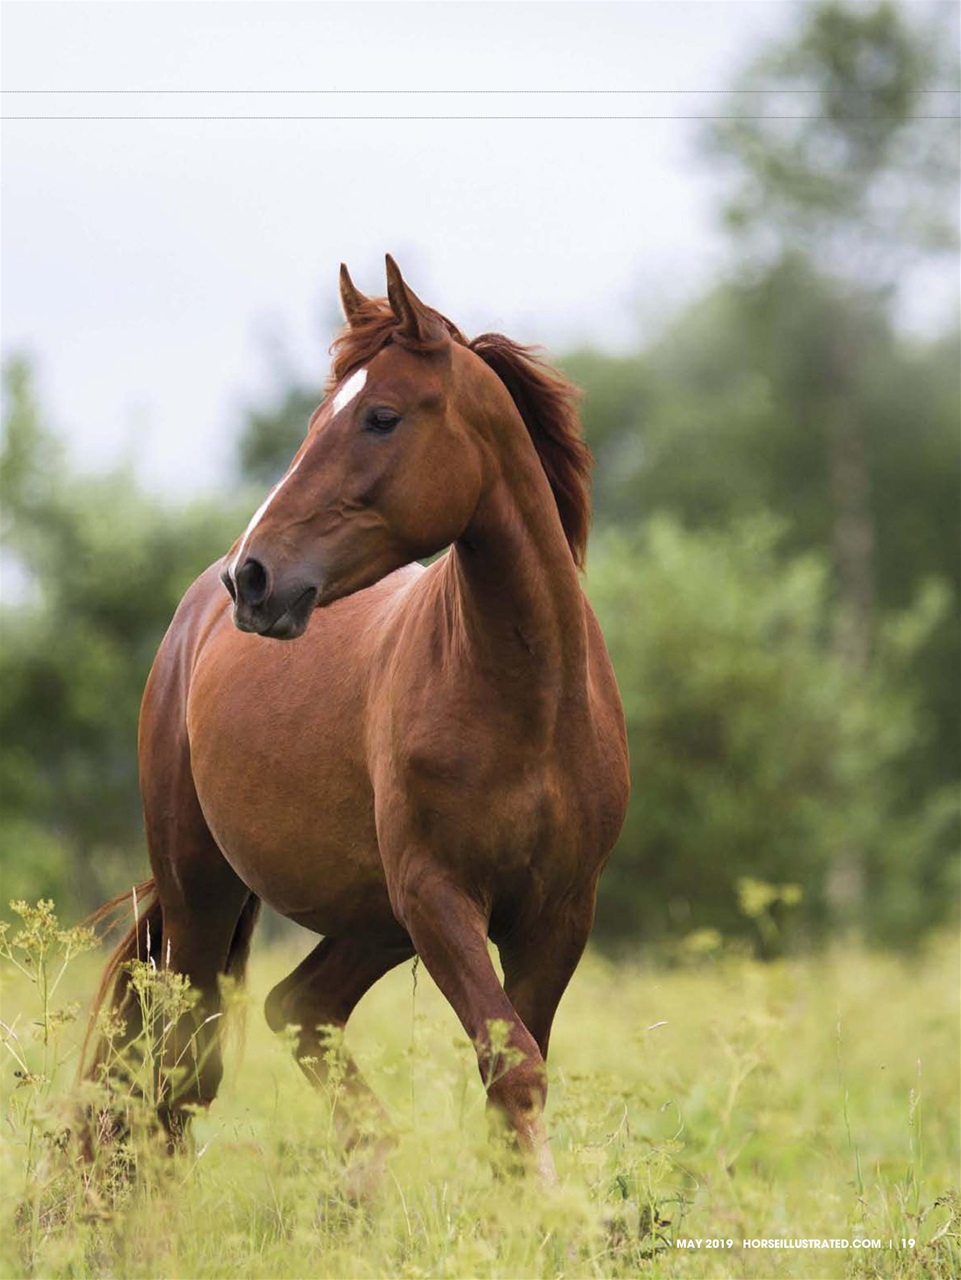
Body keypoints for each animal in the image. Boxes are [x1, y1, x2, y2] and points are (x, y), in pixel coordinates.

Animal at [83, 256, 629, 1187]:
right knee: (182, 1073)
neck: (526, 703)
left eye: (381, 417)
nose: (254, 579)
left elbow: (513, 1076)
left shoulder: (557, 915)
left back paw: (364, 1174)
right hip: (207, 894)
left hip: (370, 920)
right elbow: (512, 1067)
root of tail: (192, 621)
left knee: (295, 1008)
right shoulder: (439, 898)